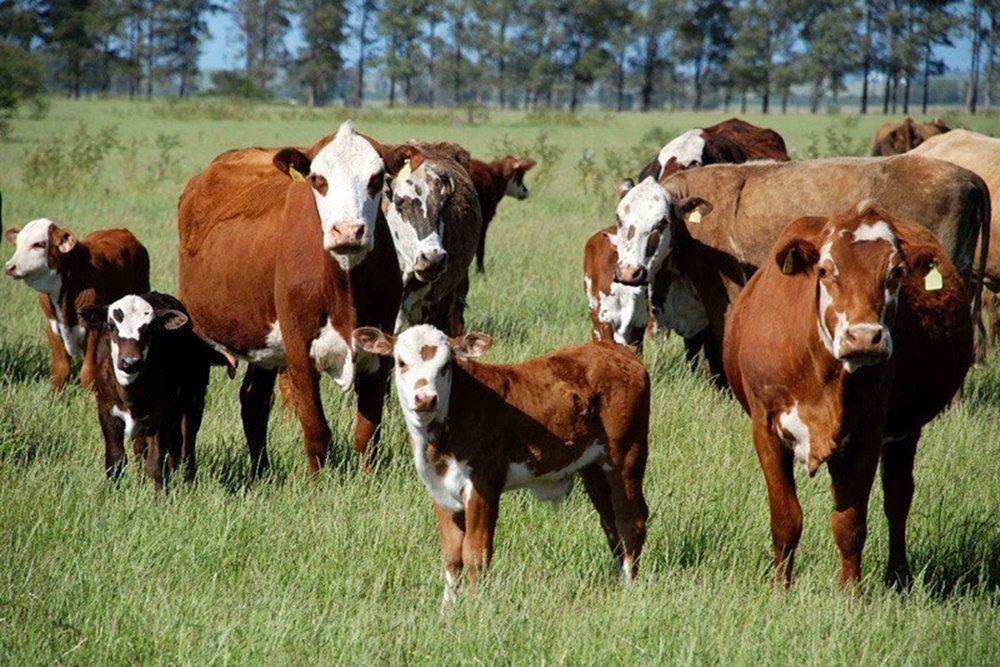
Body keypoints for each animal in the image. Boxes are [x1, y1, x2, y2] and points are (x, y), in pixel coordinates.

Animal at [3, 222, 150, 392]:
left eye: (39, 244)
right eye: (17, 243)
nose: (10, 267)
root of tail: (123, 231)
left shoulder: (94, 328)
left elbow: (88, 372)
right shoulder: (52, 326)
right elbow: (60, 370)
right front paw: (56, 397)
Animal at [356, 324, 652, 604]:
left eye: (445, 366)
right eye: (401, 362)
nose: (425, 398)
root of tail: (617, 350)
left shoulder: (483, 484)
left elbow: (475, 553)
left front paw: (473, 608)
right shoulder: (440, 490)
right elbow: (451, 556)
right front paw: (447, 609)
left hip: (626, 454)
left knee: (630, 522)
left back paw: (629, 589)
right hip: (593, 466)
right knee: (611, 523)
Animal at [724, 204, 972, 588]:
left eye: (896, 272)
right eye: (825, 270)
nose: (864, 336)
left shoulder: (866, 433)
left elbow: (850, 523)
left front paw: (850, 594)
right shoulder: (765, 428)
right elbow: (785, 519)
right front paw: (780, 590)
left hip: (905, 432)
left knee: (897, 497)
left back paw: (898, 576)